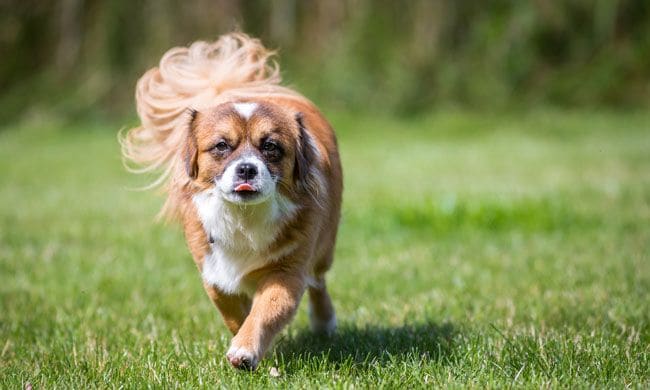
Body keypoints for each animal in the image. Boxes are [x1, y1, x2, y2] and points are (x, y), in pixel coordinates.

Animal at [119, 32, 342, 368]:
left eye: (271, 147)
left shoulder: (287, 273)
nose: (247, 168)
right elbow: (234, 312)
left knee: (318, 281)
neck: (244, 218)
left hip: (324, 249)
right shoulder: (214, 273)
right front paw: (249, 342)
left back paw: (324, 322)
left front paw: (245, 350)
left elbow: (265, 311)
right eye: (222, 146)